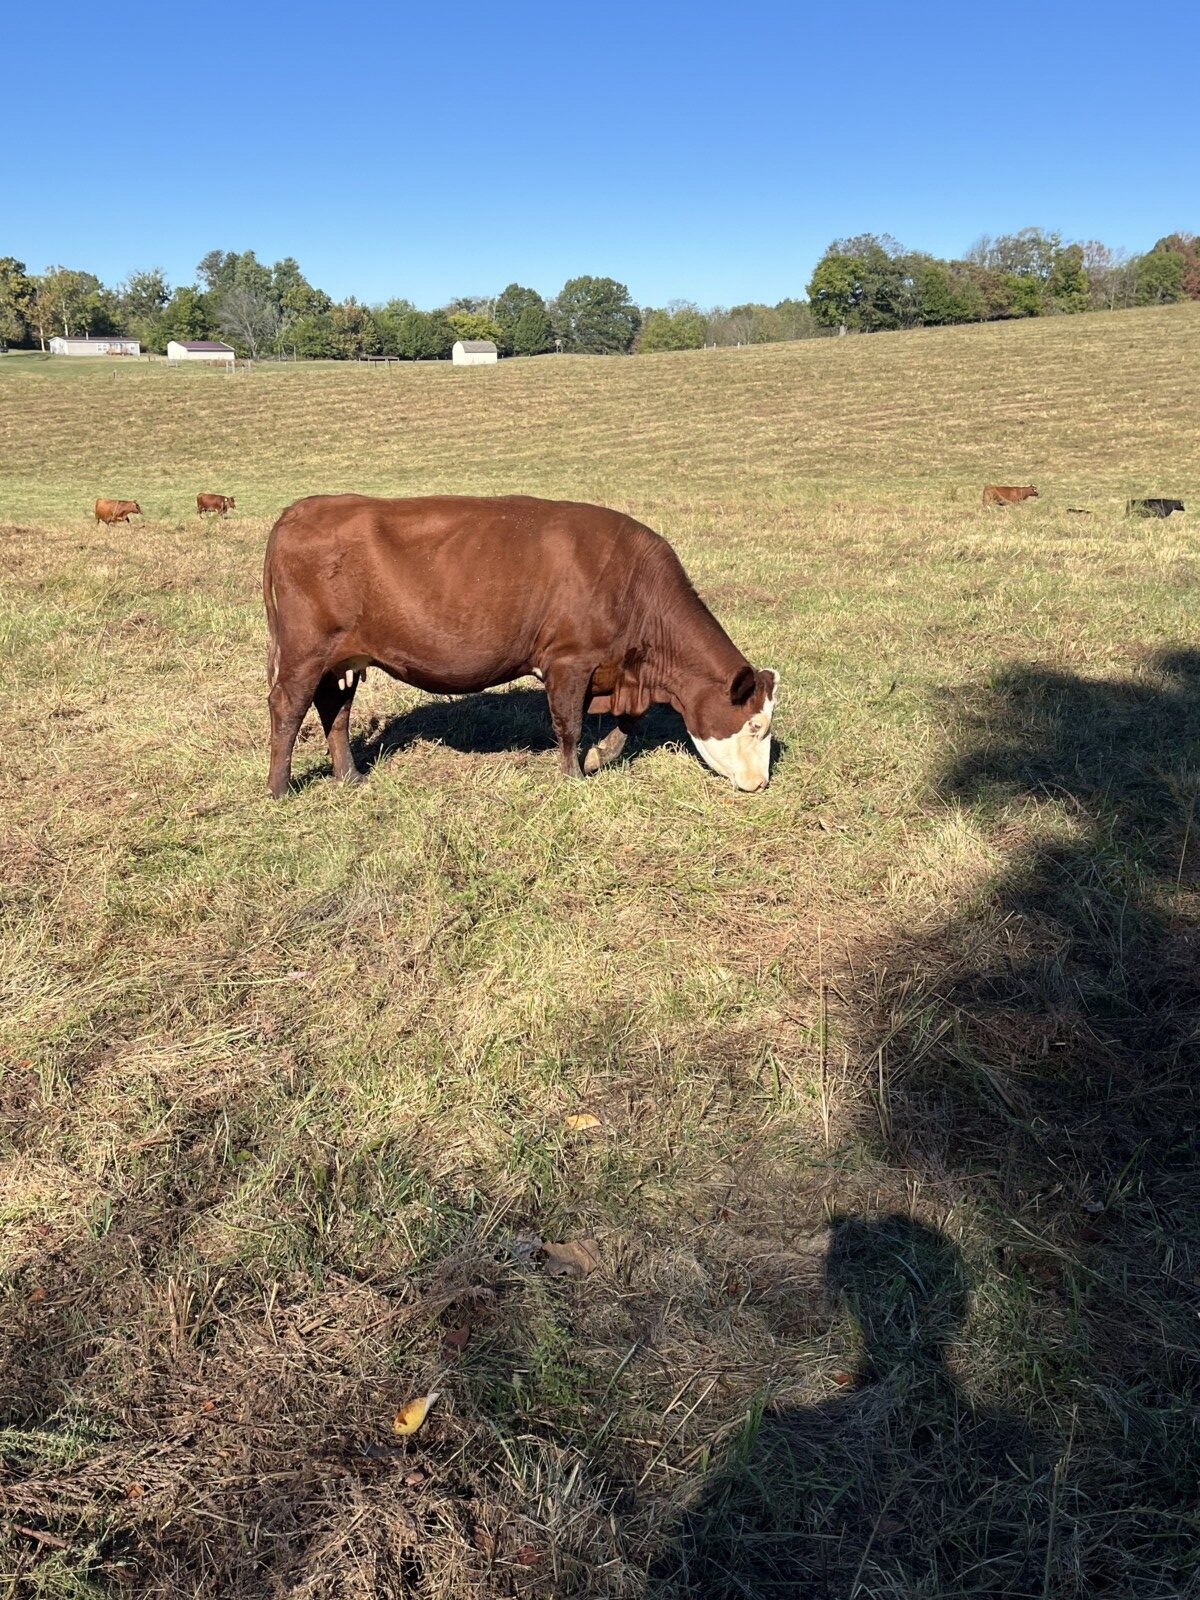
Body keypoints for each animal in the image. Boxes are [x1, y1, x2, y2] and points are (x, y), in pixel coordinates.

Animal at [262, 494, 779, 798]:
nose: (761, 784)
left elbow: (629, 719)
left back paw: (350, 776)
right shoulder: (570, 659)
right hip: (306, 650)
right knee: (288, 707)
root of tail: (301, 508)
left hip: (343, 658)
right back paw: (280, 788)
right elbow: (569, 724)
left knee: (334, 710)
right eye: (756, 726)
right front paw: (573, 778)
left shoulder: (618, 668)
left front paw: (600, 756)